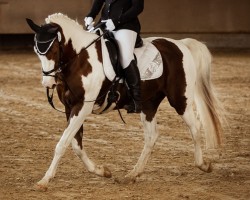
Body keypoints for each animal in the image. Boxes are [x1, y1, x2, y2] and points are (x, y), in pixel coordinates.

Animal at [25, 12, 225, 191]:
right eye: (36, 51)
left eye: (53, 50)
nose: (47, 83)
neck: (80, 60)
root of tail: (180, 44)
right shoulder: (70, 107)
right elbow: (76, 144)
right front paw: (102, 171)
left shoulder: (82, 106)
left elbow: (63, 143)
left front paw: (44, 181)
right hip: (148, 104)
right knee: (151, 136)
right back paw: (132, 175)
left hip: (180, 99)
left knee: (194, 127)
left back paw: (203, 165)